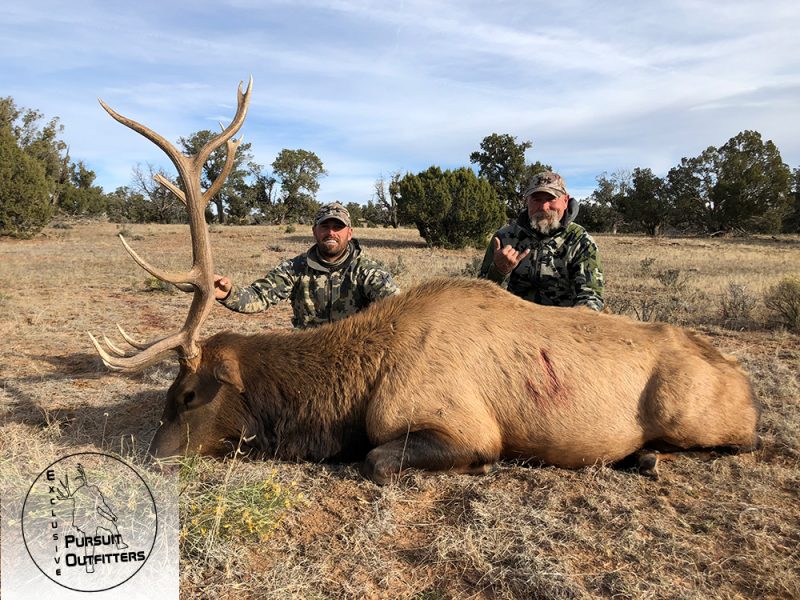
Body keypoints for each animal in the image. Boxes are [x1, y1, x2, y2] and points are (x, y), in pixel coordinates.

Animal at [90, 81, 760, 482]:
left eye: (186, 395)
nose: (147, 455)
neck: (348, 396)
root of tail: (743, 379)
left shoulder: (464, 427)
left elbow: (378, 459)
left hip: (694, 416)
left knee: (743, 441)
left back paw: (649, 454)